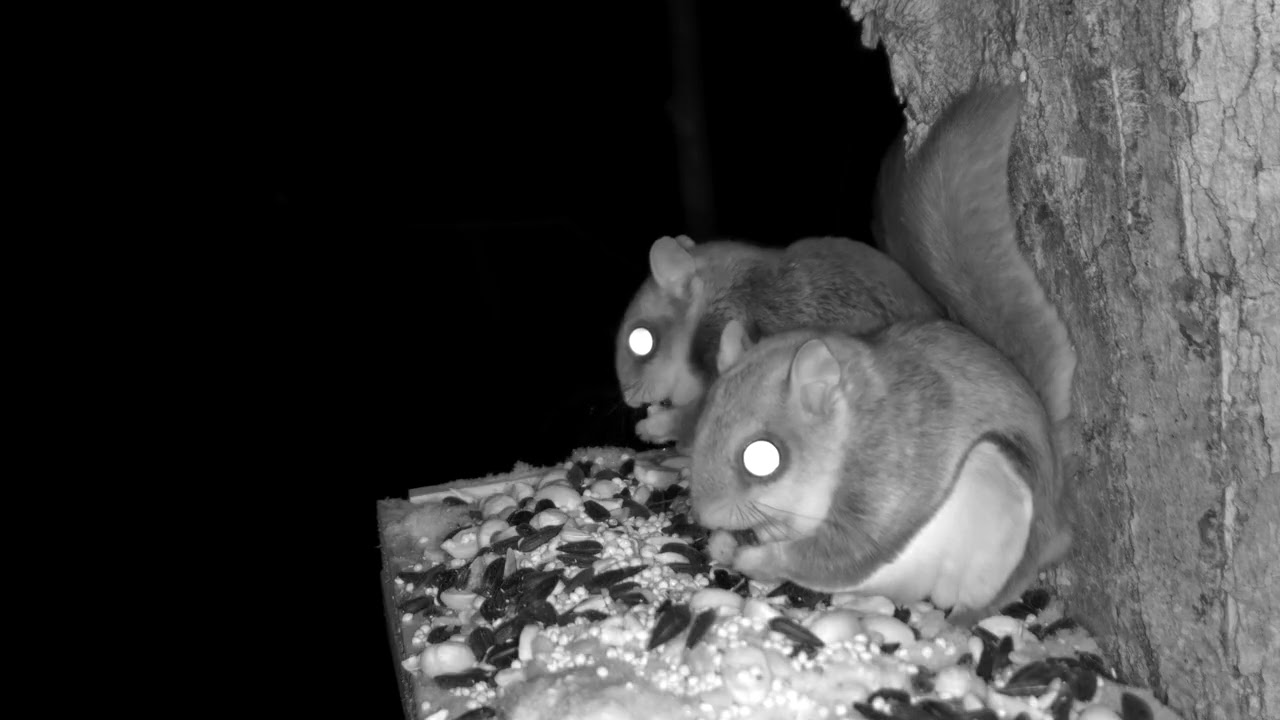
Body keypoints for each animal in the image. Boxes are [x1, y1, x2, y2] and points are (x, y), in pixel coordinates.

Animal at [689, 84, 1078, 620]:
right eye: (700, 421)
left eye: (763, 458)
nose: (703, 513)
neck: (848, 422)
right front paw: (730, 544)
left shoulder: (890, 466)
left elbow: (845, 548)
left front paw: (758, 558)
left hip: (994, 508)